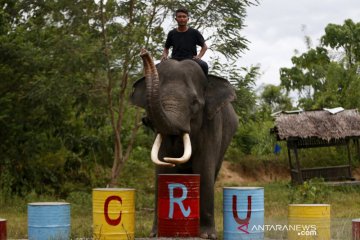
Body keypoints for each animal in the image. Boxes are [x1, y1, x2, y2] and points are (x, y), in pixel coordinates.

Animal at [130, 48, 239, 238]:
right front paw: (157, 234)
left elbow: (204, 168)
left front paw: (207, 235)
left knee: (213, 171)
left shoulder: (211, 123)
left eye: (195, 103)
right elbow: (162, 169)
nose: (143, 52)